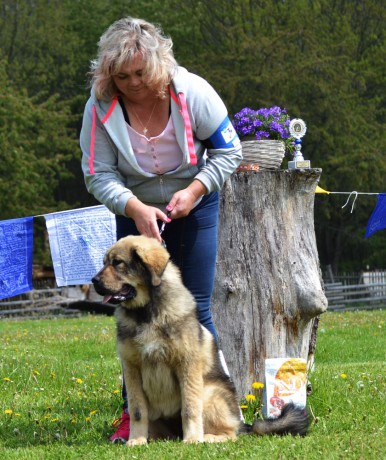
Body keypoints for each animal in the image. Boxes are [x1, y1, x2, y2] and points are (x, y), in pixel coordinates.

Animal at [92, 235, 310, 444]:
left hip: (209, 392)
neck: (147, 313)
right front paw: (136, 440)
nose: (93, 281)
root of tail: (243, 424)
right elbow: (137, 411)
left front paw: (192, 440)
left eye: (118, 263)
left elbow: (189, 409)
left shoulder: (187, 365)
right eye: (105, 263)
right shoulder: (132, 369)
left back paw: (208, 437)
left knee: (231, 433)